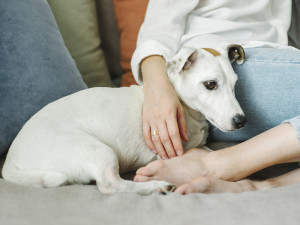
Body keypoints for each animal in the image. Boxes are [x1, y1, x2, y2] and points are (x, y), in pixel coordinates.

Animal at [1, 43, 246, 193]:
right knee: (112, 185)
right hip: (98, 150)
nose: (241, 121)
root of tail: (11, 163)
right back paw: (156, 186)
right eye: (210, 84)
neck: (186, 109)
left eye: (235, 84)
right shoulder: (168, 153)